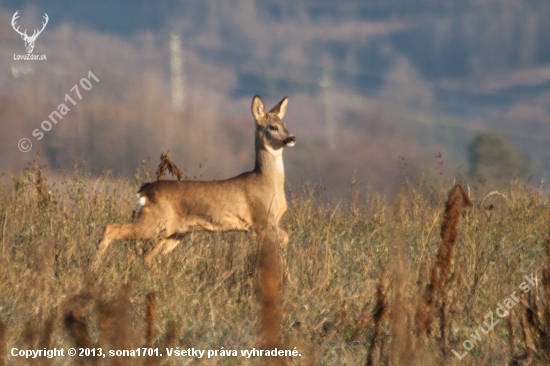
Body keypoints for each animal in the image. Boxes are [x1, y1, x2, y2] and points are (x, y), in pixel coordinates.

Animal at [92, 96, 298, 268]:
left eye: (285, 124)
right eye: (272, 127)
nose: (292, 138)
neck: (266, 181)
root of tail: (144, 189)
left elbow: (284, 240)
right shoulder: (262, 218)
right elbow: (282, 244)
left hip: (174, 231)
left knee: (150, 257)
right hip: (155, 221)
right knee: (111, 229)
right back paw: (93, 270)